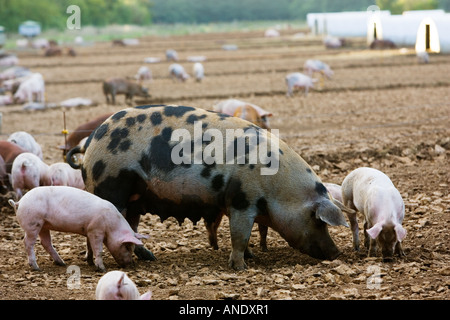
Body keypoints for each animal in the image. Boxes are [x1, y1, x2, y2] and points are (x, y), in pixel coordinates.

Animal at [8, 186, 148, 272]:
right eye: (127, 246)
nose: (130, 264)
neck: (112, 225)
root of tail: (19, 202)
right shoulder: (96, 230)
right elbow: (99, 250)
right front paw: (102, 269)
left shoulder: (89, 231)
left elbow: (89, 246)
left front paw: (90, 262)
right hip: (33, 223)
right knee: (27, 242)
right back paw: (36, 267)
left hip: (43, 225)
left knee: (45, 242)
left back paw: (62, 263)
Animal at [67, 105, 350, 270]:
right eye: (318, 220)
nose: (336, 252)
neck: (279, 188)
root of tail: (90, 140)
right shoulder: (241, 200)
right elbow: (239, 235)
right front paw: (240, 267)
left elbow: (245, 237)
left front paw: (252, 257)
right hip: (112, 186)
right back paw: (101, 264)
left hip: (135, 198)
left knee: (131, 229)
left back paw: (149, 258)